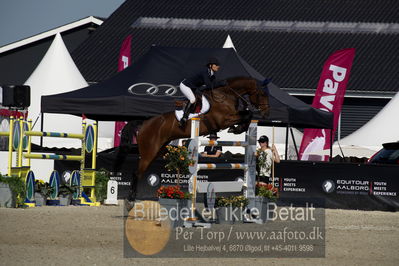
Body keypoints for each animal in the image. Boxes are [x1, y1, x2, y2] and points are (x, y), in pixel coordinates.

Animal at [134, 77, 268, 200]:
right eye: (262, 94)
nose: (266, 112)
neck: (227, 95)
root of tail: (144, 124)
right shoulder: (224, 120)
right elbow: (246, 114)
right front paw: (237, 129)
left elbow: (247, 115)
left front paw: (238, 128)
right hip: (148, 153)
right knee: (137, 173)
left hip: (159, 150)